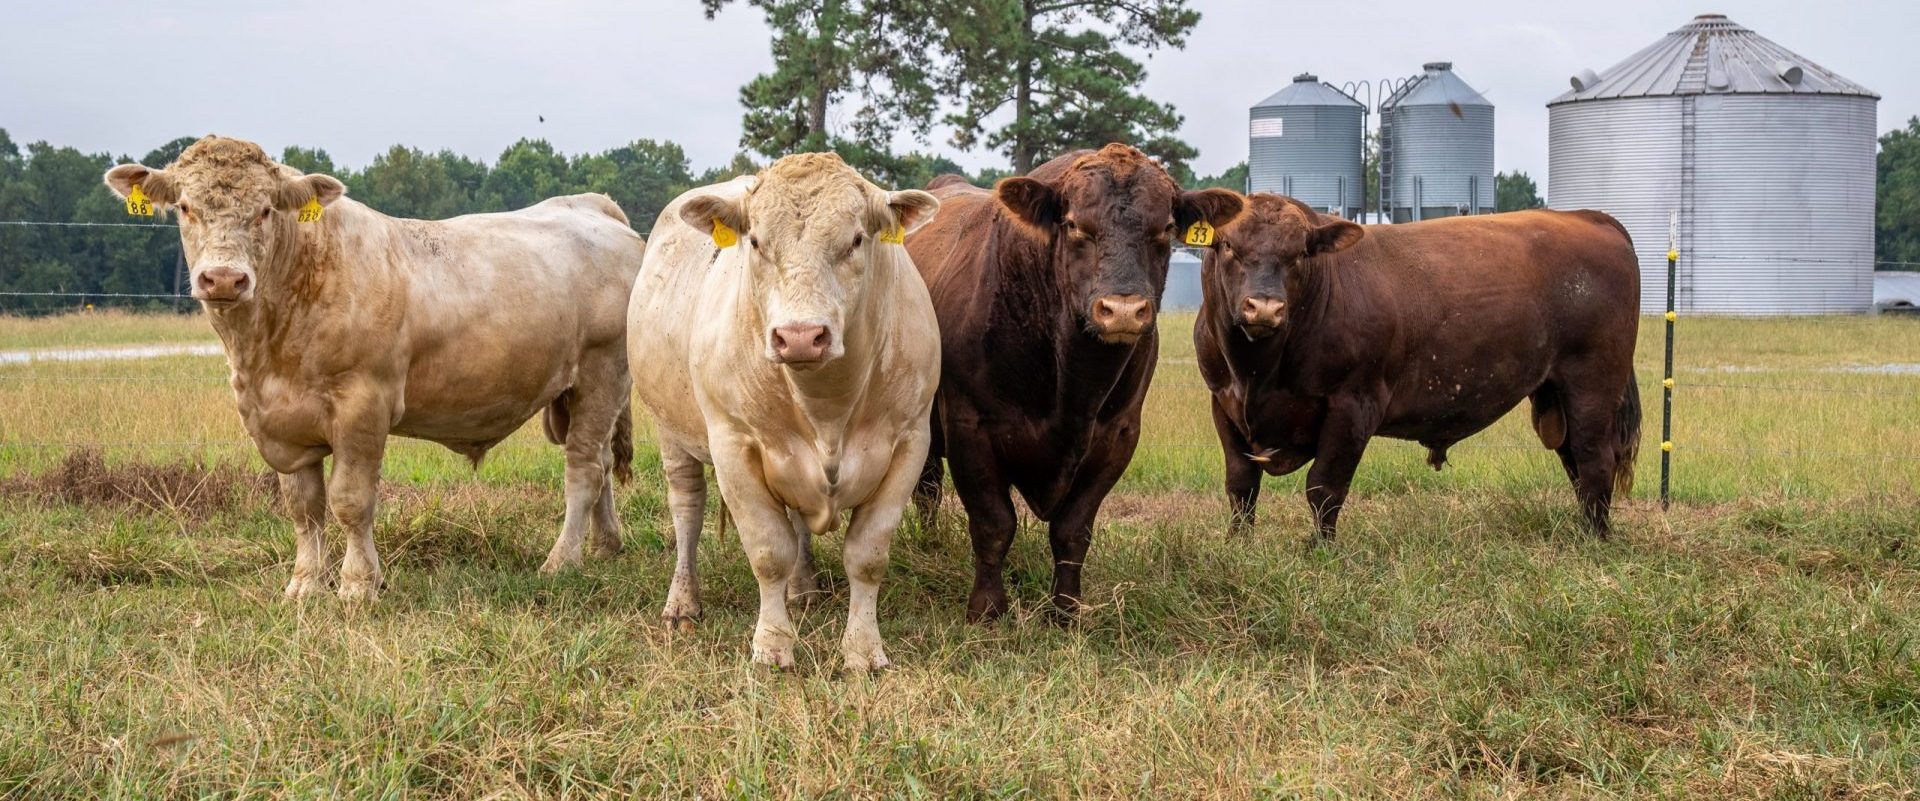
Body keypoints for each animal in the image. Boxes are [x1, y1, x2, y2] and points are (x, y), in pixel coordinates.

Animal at [103, 135, 645, 599]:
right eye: (185, 207)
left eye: (265, 210)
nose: (222, 278)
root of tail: (594, 206)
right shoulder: (282, 425)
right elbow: (303, 507)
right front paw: (304, 585)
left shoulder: (363, 406)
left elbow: (350, 500)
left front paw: (359, 584)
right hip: (572, 394)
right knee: (601, 461)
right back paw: (605, 546)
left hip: (603, 373)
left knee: (583, 469)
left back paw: (561, 560)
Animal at [633, 152, 940, 664]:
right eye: (756, 241)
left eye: (856, 239)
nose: (799, 336)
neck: (828, 408)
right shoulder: (733, 445)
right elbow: (768, 551)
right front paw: (772, 645)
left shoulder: (911, 441)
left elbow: (867, 555)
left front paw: (863, 651)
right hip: (671, 431)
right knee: (686, 509)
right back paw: (683, 602)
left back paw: (804, 589)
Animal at [902, 142, 1236, 618]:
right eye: (1076, 224)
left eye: (1167, 227)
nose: (1123, 310)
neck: (1074, 384)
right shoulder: (969, 427)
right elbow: (993, 523)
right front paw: (987, 608)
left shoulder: (1118, 435)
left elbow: (1073, 530)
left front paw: (1065, 610)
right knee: (927, 489)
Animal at [1198, 194, 1635, 537]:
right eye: (1227, 245)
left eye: (1301, 253)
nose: (1265, 307)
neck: (1258, 371)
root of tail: (1589, 217)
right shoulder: (1222, 403)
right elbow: (1241, 485)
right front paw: (1238, 544)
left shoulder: (1354, 405)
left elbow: (1324, 488)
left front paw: (1320, 552)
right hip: (1554, 394)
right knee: (1574, 461)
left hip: (1592, 387)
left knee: (1595, 461)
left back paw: (1594, 540)